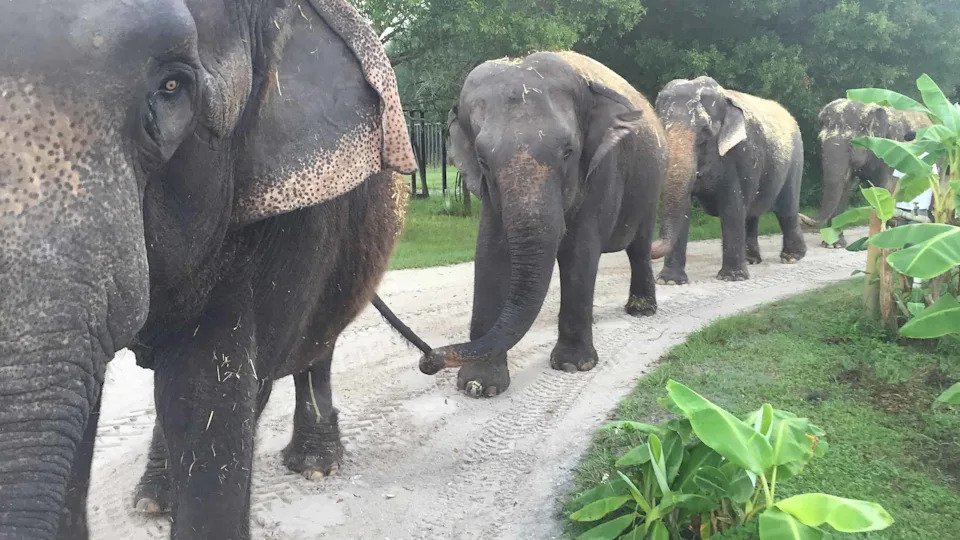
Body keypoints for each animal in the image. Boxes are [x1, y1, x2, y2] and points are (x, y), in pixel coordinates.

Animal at [418, 51, 667, 397]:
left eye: (568, 152)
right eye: (482, 161)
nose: (429, 359)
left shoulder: (601, 170)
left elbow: (579, 252)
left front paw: (574, 366)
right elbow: (490, 253)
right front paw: (478, 385)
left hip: (652, 183)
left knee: (639, 247)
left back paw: (641, 309)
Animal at [651, 76, 807, 283]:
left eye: (705, 131)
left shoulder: (741, 153)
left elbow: (731, 206)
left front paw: (732, 278)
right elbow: (684, 208)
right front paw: (669, 281)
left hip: (795, 160)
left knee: (786, 208)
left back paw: (792, 257)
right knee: (752, 213)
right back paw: (751, 260)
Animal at [800, 98, 931, 248]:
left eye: (851, 144)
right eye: (821, 141)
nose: (801, 216)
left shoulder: (893, 149)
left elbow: (887, 186)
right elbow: (845, 186)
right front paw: (834, 244)